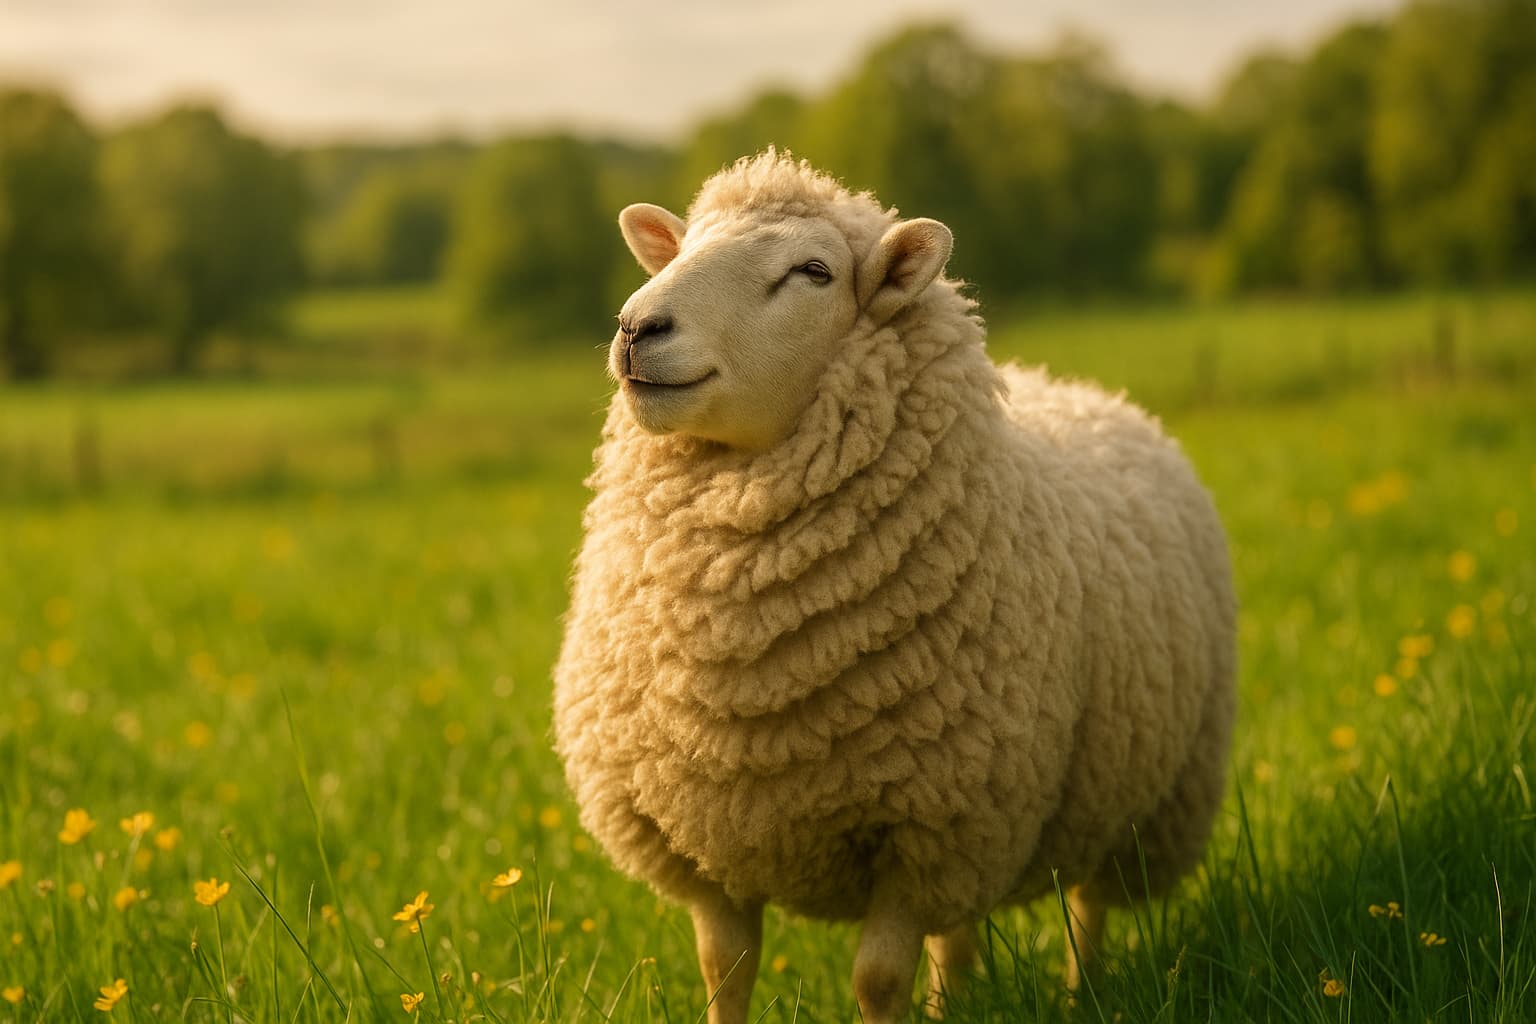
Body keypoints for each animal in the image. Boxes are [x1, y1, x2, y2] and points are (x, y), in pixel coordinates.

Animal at [553, 150, 1236, 1024]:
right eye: (682, 247)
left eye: (813, 272)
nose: (639, 327)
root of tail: (1085, 390)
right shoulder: (703, 845)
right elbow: (724, 970)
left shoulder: (929, 830)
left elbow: (878, 980)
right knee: (960, 933)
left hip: (1132, 800)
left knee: (1089, 907)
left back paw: (1083, 994)